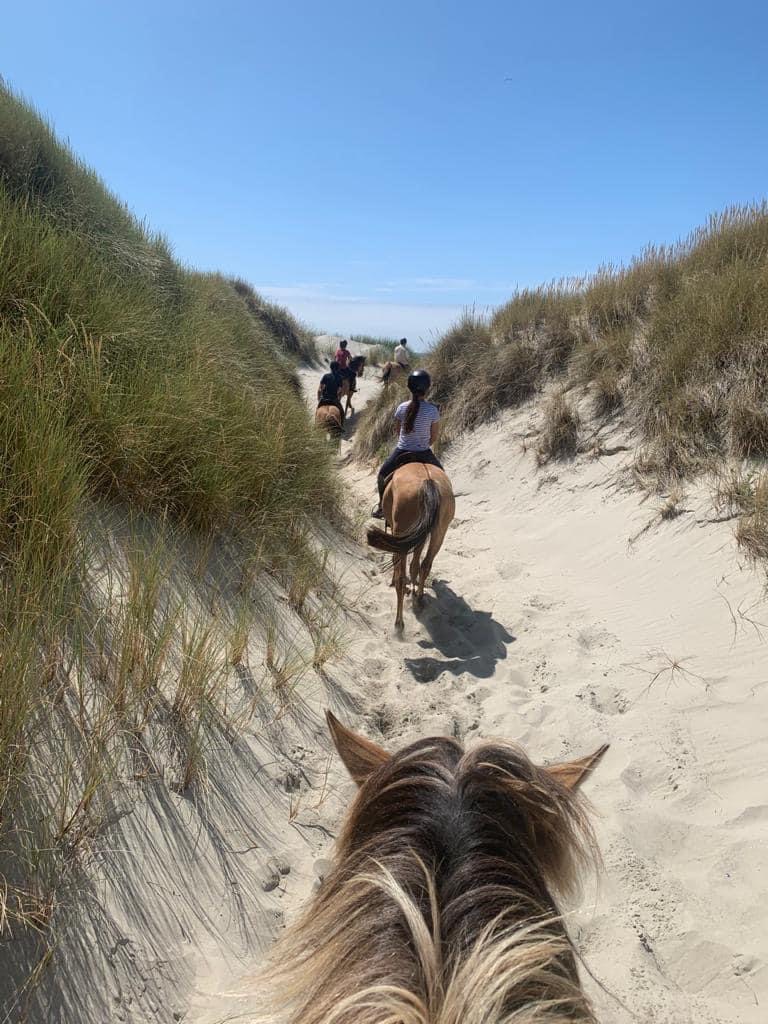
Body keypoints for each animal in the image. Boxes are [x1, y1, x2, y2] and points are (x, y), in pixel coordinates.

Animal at [364, 464, 450, 630]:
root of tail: (428, 481)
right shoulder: (419, 536)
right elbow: (415, 566)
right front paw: (414, 591)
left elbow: (397, 561)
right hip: (439, 533)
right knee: (425, 565)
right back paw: (419, 599)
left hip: (402, 528)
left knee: (401, 577)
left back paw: (399, 622)